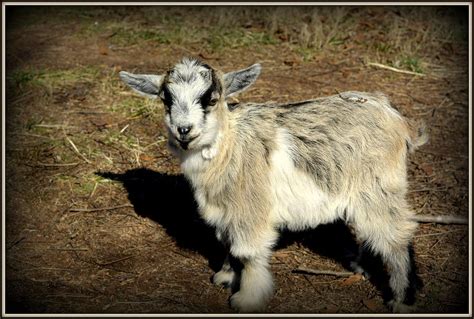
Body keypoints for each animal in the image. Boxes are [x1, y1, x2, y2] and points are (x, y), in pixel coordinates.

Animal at [120, 57, 428, 312]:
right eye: (166, 100)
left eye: (211, 99)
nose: (184, 131)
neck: (229, 145)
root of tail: (396, 118)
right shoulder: (227, 212)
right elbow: (228, 243)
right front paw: (226, 276)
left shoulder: (250, 209)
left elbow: (248, 253)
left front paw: (247, 298)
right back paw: (361, 266)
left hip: (379, 186)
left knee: (397, 235)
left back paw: (402, 299)